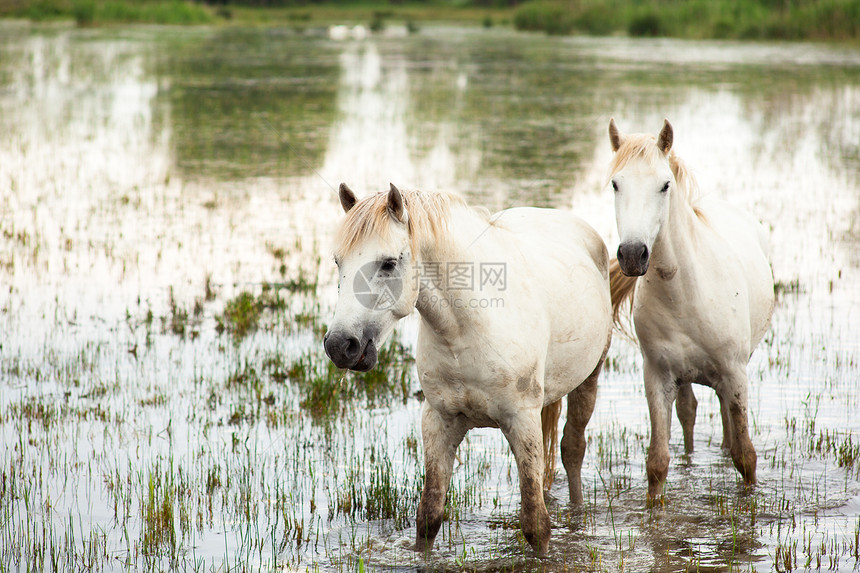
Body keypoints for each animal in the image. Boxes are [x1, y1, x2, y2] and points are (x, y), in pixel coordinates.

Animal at [322, 182, 612, 548]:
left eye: (388, 263)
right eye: (338, 261)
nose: (339, 345)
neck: (465, 329)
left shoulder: (522, 421)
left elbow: (536, 524)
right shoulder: (438, 421)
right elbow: (428, 517)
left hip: (590, 378)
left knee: (572, 450)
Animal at [608, 118, 776, 498]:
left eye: (664, 185)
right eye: (615, 184)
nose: (632, 254)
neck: (686, 294)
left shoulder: (735, 373)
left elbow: (746, 456)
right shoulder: (657, 377)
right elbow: (657, 463)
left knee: (727, 418)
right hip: (683, 377)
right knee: (689, 411)